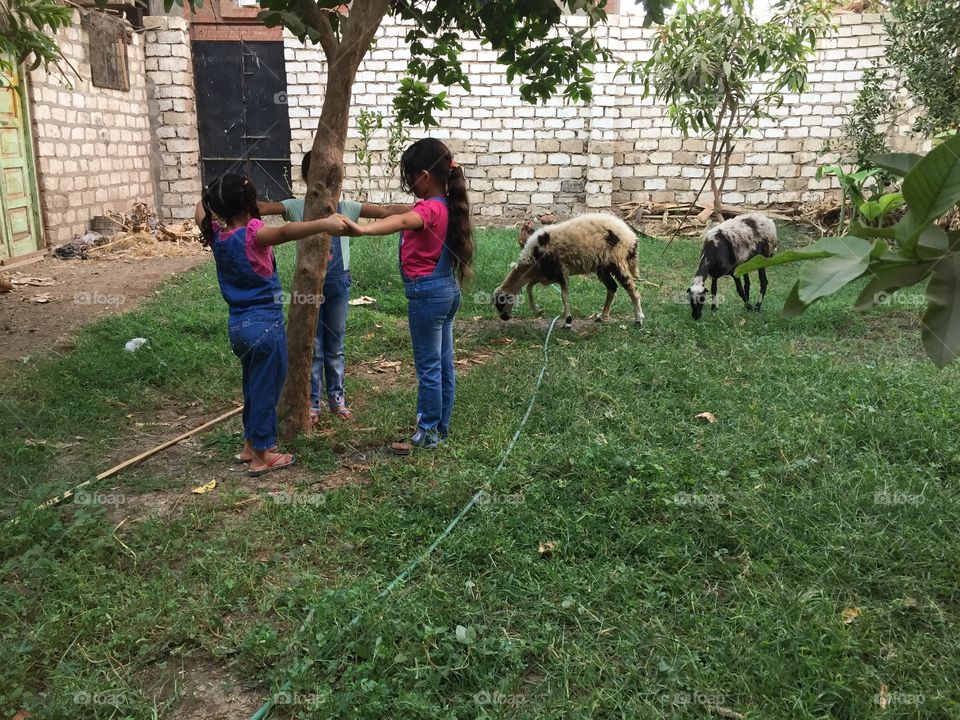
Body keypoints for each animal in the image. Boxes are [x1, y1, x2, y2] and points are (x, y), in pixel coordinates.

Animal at [496, 212, 644, 328]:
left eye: (501, 301)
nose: (504, 318)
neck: (531, 261)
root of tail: (632, 237)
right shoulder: (545, 275)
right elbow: (529, 288)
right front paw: (538, 310)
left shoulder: (560, 271)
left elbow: (564, 295)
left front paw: (567, 321)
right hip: (603, 266)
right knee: (612, 287)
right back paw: (602, 316)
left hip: (617, 260)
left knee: (632, 289)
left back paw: (638, 318)